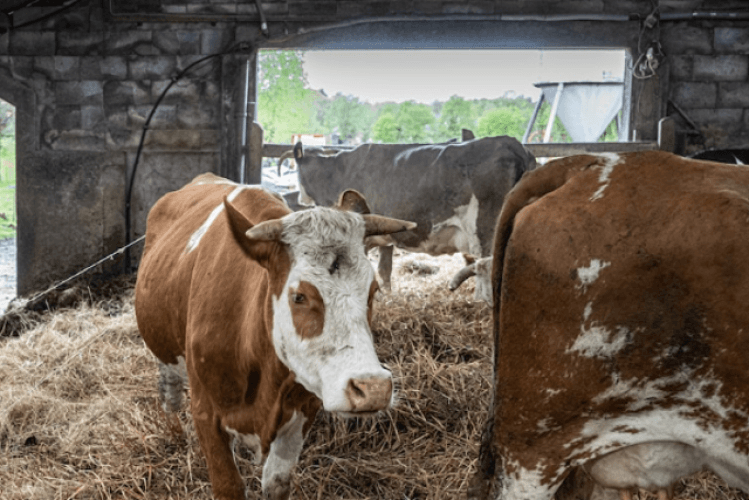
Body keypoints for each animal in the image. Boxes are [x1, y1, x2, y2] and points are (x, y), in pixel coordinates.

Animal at [134, 172, 416, 500]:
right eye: (299, 296)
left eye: (373, 291)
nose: (373, 389)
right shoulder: (205, 412)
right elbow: (228, 485)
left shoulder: (303, 411)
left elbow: (277, 482)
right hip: (162, 347)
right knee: (169, 391)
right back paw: (175, 431)